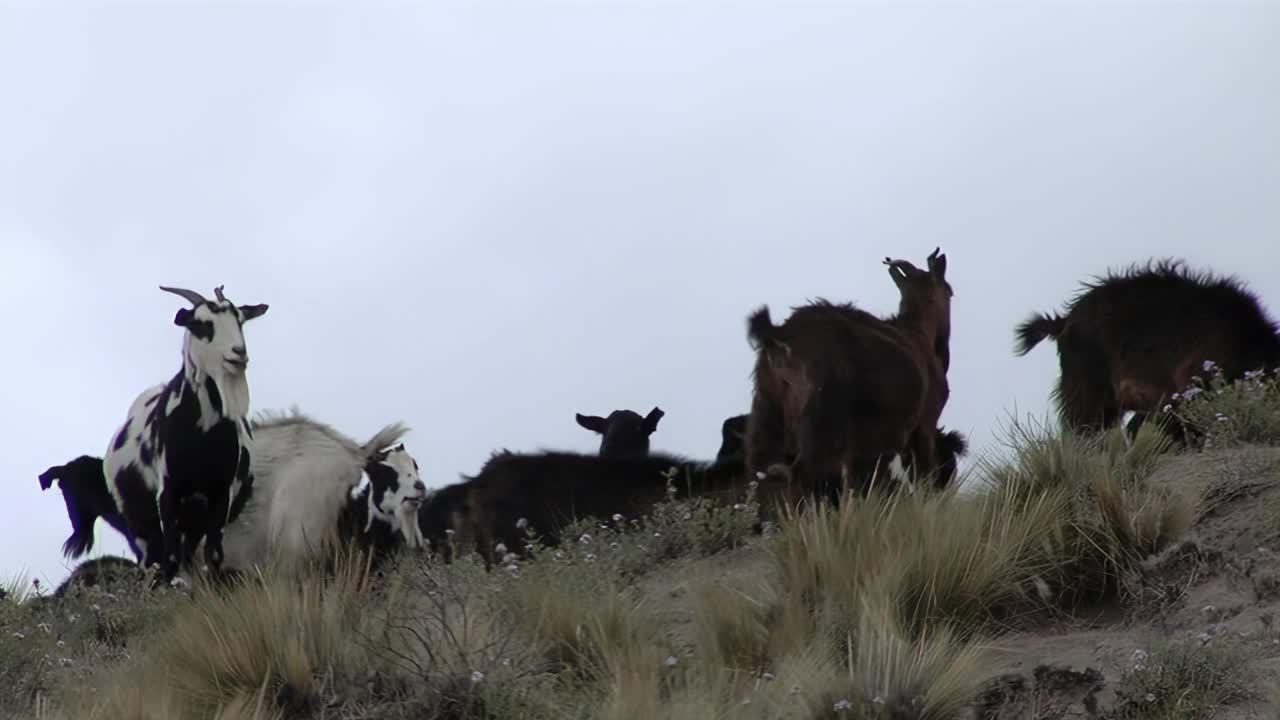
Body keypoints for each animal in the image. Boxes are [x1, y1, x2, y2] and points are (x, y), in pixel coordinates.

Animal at [103, 283, 270, 579]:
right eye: (201, 324)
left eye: (240, 321)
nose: (238, 353)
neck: (200, 434)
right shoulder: (168, 492)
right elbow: (169, 555)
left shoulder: (220, 494)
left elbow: (213, 554)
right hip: (138, 518)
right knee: (154, 555)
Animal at [742, 245, 952, 499]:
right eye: (950, 291)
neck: (920, 333)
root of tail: (779, 335)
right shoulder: (924, 424)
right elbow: (924, 478)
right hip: (821, 419)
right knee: (802, 473)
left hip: (766, 409)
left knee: (761, 473)